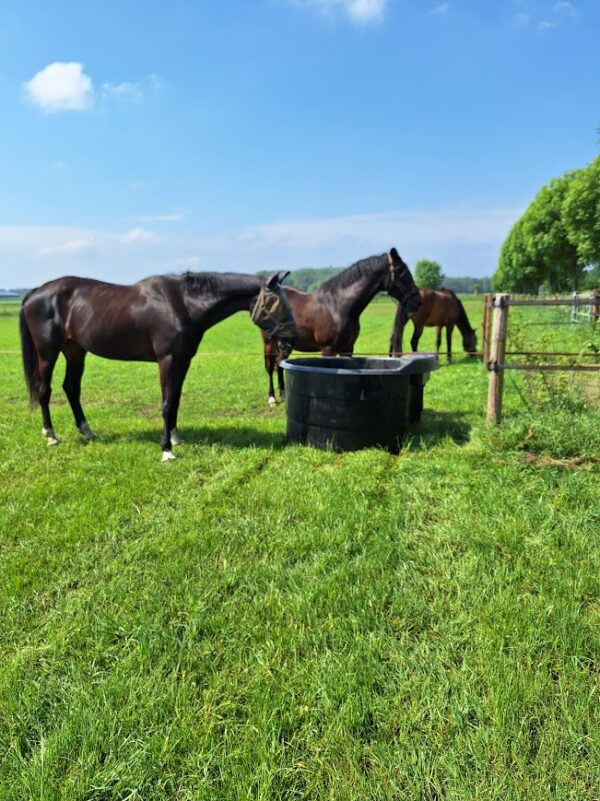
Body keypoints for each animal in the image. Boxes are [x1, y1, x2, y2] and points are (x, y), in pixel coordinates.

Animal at [20, 271, 296, 461]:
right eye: (275, 303)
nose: (290, 340)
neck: (182, 304)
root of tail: (37, 292)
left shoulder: (183, 361)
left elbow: (175, 400)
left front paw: (175, 437)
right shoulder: (167, 360)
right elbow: (166, 403)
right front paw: (167, 451)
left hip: (75, 351)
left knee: (71, 389)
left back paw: (87, 432)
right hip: (48, 353)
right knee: (45, 391)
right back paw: (51, 436)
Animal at [262, 248, 422, 405]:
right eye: (403, 273)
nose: (417, 301)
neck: (338, 306)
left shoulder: (347, 348)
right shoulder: (327, 350)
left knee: (279, 362)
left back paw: (283, 394)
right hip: (269, 341)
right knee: (270, 366)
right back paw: (272, 397)